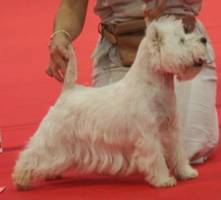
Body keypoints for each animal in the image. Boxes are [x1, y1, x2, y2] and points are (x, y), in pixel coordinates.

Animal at [12, 16, 209, 189]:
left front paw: (186, 172)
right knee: (32, 153)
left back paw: (51, 173)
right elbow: (156, 158)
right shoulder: (148, 135)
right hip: (54, 134)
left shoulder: (172, 129)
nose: (204, 39)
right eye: (182, 40)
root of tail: (68, 90)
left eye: (186, 32)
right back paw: (21, 180)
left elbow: (178, 152)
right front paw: (163, 180)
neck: (155, 86)